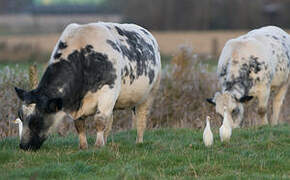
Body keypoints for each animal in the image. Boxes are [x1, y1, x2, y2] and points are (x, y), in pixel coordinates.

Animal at [14, 21, 162, 150]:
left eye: (36, 121)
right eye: (20, 116)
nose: (24, 146)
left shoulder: (107, 92)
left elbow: (100, 120)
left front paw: (97, 146)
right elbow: (80, 124)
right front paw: (84, 146)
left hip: (149, 94)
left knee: (141, 118)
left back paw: (139, 142)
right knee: (110, 121)